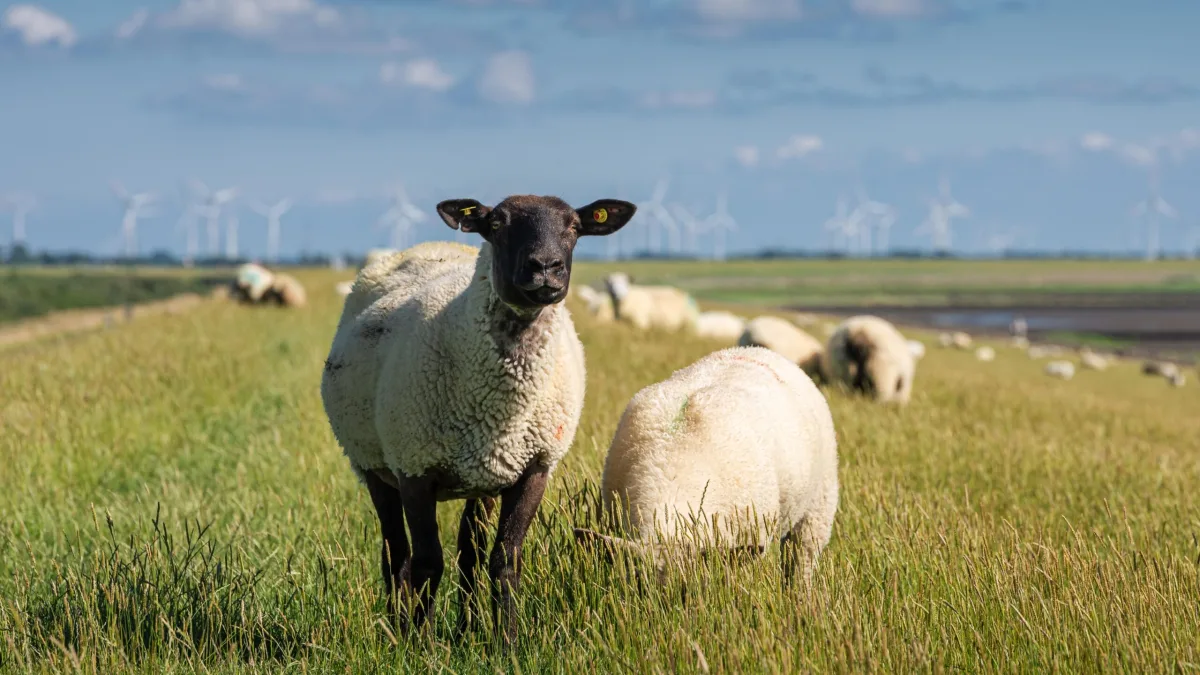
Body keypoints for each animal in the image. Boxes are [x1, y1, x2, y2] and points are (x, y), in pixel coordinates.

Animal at [321, 194, 635, 642]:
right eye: (497, 223)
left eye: (575, 227)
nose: (546, 267)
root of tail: (426, 246)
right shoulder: (414, 468)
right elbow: (427, 562)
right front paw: (420, 643)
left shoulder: (533, 468)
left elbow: (504, 560)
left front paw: (507, 641)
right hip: (372, 464)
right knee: (396, 554)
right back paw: (398, 627)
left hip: (483, 477)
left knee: (468, 552)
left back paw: (468, 626)